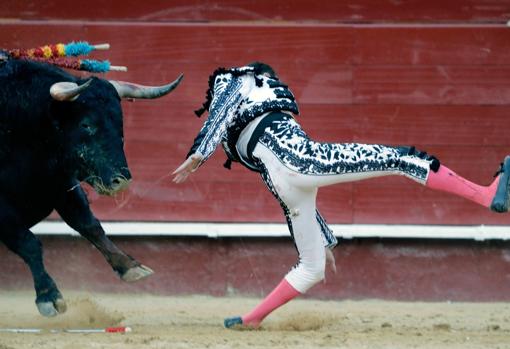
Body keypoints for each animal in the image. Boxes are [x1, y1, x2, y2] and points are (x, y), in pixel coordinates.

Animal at [0, 56, 183, 316]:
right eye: (86, 124)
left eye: (120, 123)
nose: (121, 181)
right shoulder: (3, 211)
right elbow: (29, 243)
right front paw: (49, 297)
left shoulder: (61, 185)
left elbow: (89, 224)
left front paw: (130, 266)